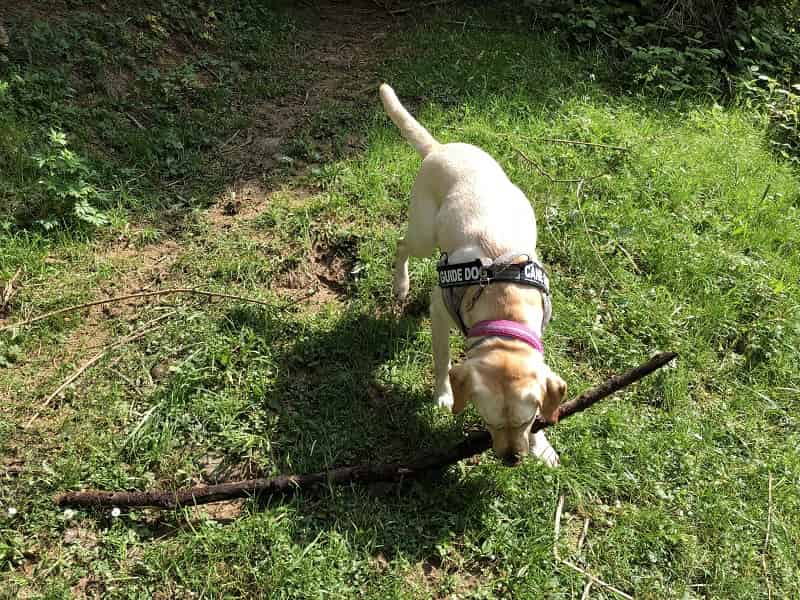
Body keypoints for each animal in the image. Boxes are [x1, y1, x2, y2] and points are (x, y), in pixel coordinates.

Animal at [380, 84, 564, 466]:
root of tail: (438, 148)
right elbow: (441, 361)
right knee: (402, 245)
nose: (511, 459)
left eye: (528, 419)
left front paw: (543, 447)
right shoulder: (439, 312)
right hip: (423, 235)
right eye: (488, 420)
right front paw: (443, 396)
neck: (504, 302)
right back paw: (401, 285)